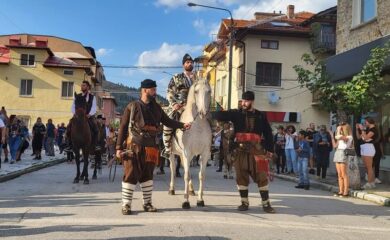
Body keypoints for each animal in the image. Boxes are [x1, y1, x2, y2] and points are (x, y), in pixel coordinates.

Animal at [168, 78, 212, 208]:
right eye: (196, 91)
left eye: (209, 91)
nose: (202, 112)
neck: (197, 125)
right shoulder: (187, 152)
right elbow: (186, 176)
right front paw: (185, 201)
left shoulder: (204, 153)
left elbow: (201, 175)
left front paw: (200, 199)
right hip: (172, 153)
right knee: (173, 168)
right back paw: (172, 189)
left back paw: (191, 190)